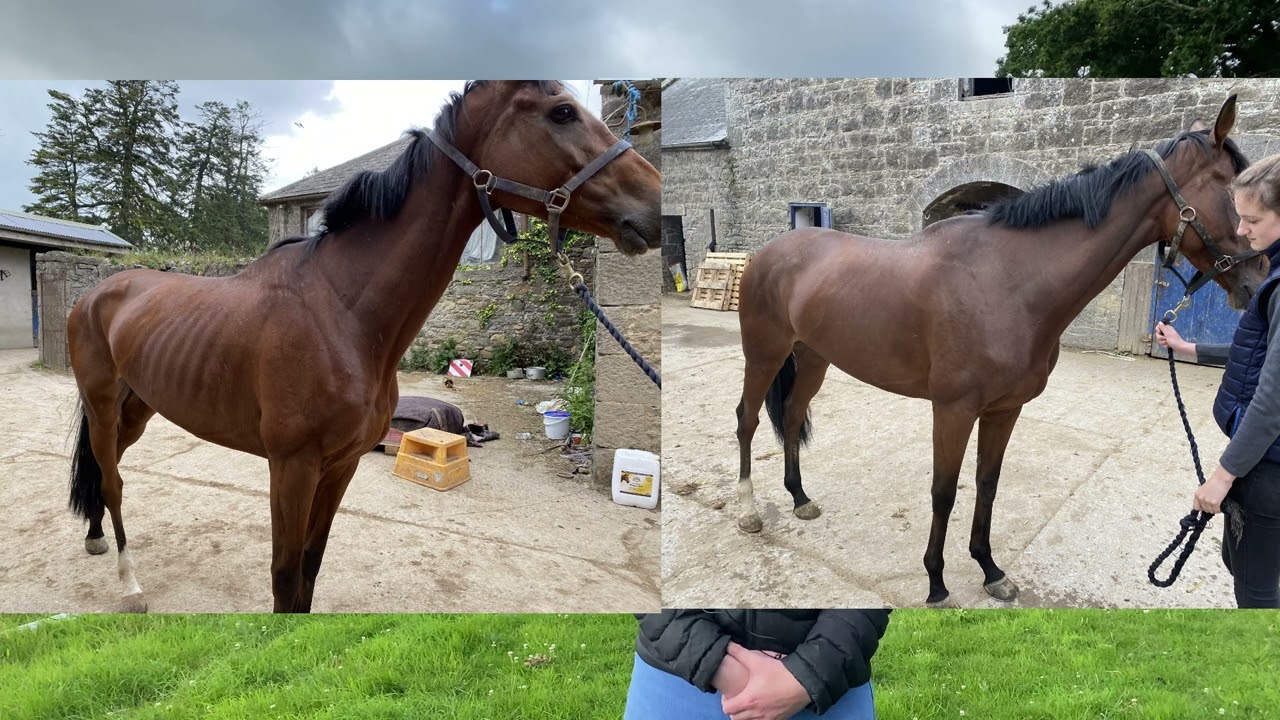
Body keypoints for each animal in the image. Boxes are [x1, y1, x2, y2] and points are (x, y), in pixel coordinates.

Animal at [66, 80, 661, 613]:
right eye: (562, 112)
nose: (656, 202)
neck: (341, 314)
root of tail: (95, 294)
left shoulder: (341, 465)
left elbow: (310, 567)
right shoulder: (292, 467)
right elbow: (285, 577)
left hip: (138, 408)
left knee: (107, 470)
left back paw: (94, 536)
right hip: (103, 404)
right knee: (113, 482)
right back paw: (129, 585)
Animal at [732, 95, 1263, 608]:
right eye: (1233, 192)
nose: (1258, 283)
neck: (1008, 282)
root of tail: (766, 253)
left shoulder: (1004, 409)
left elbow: (987, 483)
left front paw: (989, 570)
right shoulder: (953, 409)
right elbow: (944, 491)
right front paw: (936, 582)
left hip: (814, 357)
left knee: (793, 415)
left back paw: (799, 498)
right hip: (764, 355)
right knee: (748, 420)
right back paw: (749, 512)